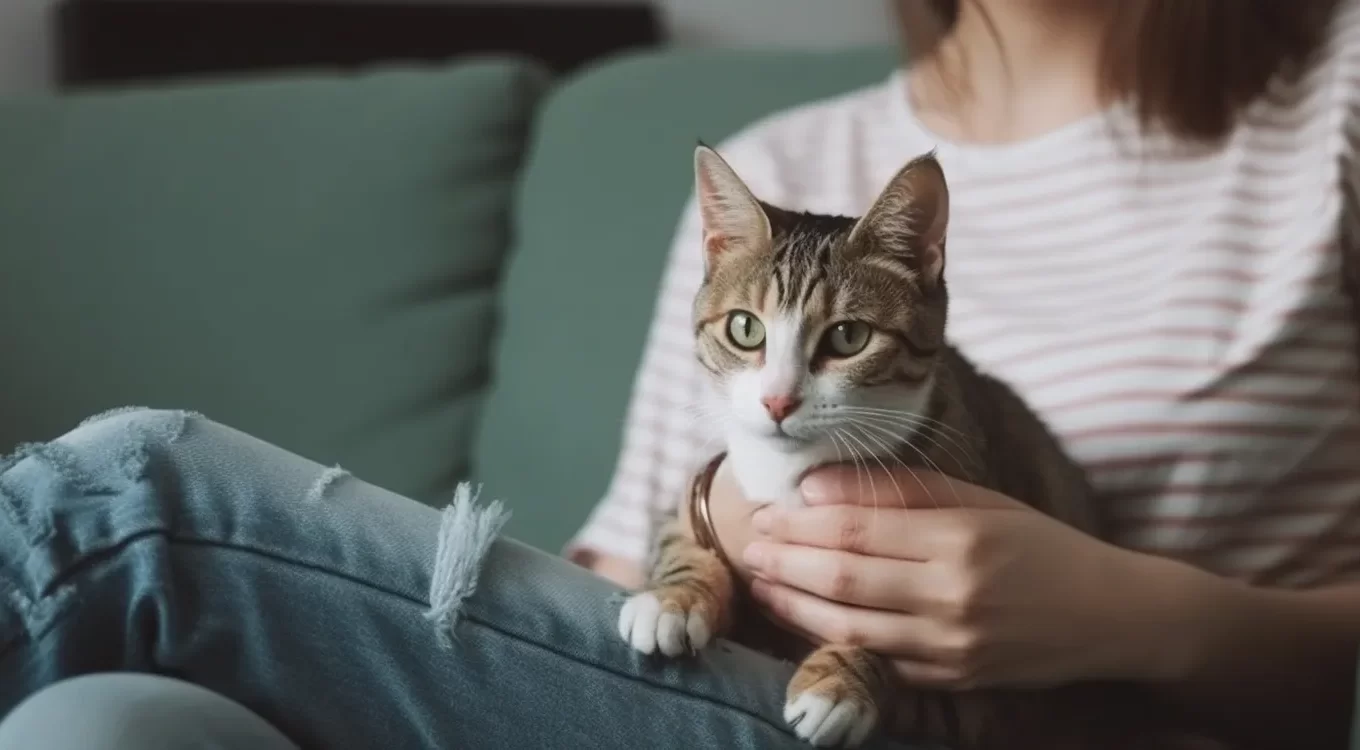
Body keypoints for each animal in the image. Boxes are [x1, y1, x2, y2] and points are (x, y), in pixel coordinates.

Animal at [617, 147, 1224, 750]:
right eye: (745, 328)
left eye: (848, 337)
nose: (777, 401)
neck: (795, 473)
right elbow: (677, 533)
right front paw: (673, 597)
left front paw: (841, 680)